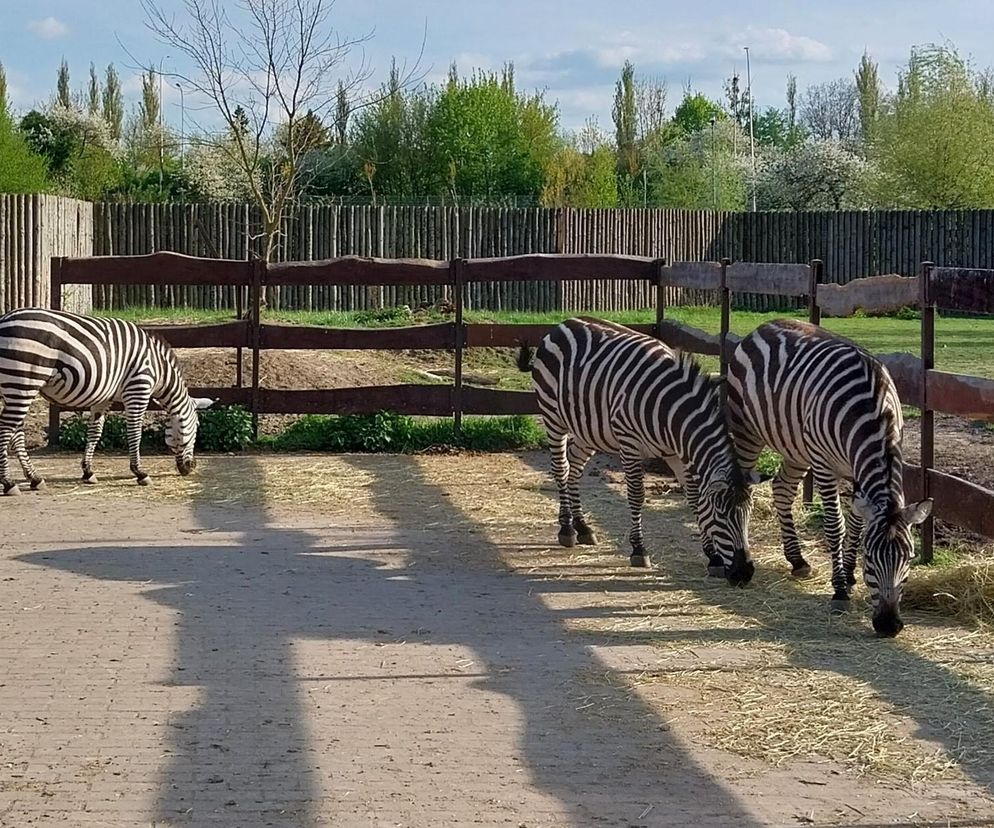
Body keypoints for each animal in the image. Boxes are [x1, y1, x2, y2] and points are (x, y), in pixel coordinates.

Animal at [0, 308, 215, 492]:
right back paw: (9, 483)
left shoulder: (104, 398)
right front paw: (140, 473)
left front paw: (88, 472)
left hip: (14, 387)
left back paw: (34, 478)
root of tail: (4, 319)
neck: (159, 368)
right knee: (6, 428)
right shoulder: (138, 390)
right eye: (196, 427)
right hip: (24, 382)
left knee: (16, 432)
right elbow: (134, 433)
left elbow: (95, 431)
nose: (191, 467)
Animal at [516, 314, 764, 584]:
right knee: (561, 468)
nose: (745, 573)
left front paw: (712, 557)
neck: (671, 413)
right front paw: (638, 549)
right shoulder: (630, 444)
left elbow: (695, 499)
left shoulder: (676, 454)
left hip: (590, 430)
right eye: (722, 515)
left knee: (575, 465)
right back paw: (567, 529)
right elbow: (636, 495)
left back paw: (583, 526)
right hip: (553, 417)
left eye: (749, 515)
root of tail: (564, 323)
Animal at [720, 320, 928, 636]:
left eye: (909, 559)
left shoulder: (857, 470)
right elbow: (836, 526)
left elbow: (856, 524)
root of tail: (764, 326)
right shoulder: (824, 464)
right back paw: (733, 563)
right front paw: (840, 590)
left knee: (782, 489)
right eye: (871, 559)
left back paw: (797, 561)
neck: (873, 409)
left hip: (795, 448)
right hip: (748, 433)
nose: (889, 625)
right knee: (739, 494)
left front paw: (849, 574)